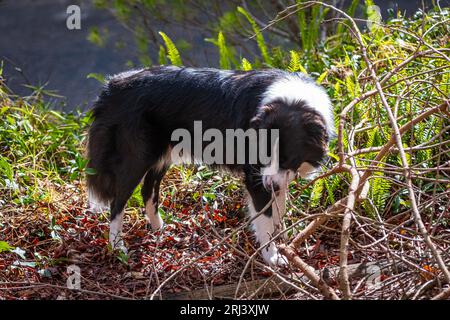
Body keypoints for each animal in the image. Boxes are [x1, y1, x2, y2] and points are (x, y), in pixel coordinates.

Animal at [87, 66, 334, 266]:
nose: (269, 186)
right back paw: (117, 246)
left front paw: (282, 241)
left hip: (162, 155)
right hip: (136, 159)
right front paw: (272, 257)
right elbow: (265, 220)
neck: (293, 100)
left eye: (287, 159)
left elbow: (277, 213)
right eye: (263, 156)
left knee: (149, 190)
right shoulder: (256, 178)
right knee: (117, 202)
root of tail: (112, 86)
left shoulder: (275, 179)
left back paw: (160, 229)